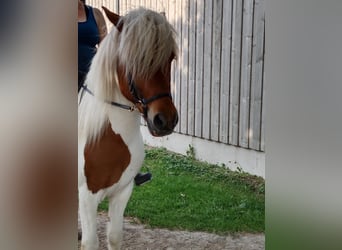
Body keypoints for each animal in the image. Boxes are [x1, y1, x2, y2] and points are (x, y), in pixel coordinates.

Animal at [78, 6, 179, 249]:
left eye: (170, 57)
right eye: (135, 59)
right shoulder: (86, 196)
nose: (165, 120)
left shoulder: (123, 191)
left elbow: (115, 236)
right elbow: (90, 242)